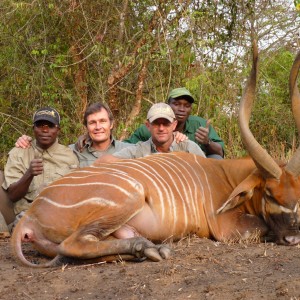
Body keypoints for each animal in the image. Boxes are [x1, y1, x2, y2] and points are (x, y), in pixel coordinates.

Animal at [11, 42, 300, 268]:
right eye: (269, 193)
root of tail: (30, 216)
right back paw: (149, 248)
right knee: (71, 245)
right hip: (130, 196)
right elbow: (261, 228)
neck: (225, 176)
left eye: (298, 193)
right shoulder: (225, 226)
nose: (292, 238)